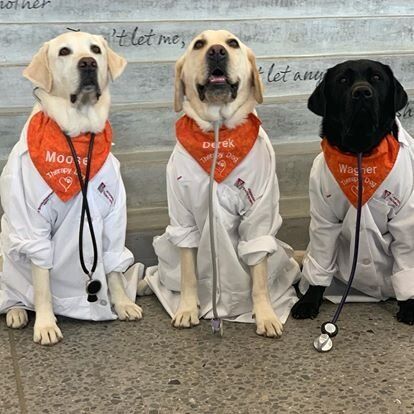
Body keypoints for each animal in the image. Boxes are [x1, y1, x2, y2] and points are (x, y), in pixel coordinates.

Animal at [0, 32, 143, 344]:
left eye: (95, 50)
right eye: (64, 51)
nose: (88, 63)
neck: (78, 134)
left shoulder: (112, 218)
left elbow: (114, 270)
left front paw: (123, 304)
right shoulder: (34, 227)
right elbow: (42, 283)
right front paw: (45, 324)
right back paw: (16, 311)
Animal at [146, 31, 300, 336]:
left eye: (232, 43)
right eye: (198, 44)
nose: (216, 52)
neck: (218, 132)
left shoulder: (258, 217)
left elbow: (259, 276)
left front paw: (265, 315)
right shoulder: (183, 219)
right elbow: (189, 273)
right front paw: (187, 308)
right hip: (166, 248)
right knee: (158, 273)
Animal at [292, 59, 414, 324]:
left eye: (377, 78)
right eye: (343, 80)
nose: (362, 93)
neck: (361, 152)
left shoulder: (406, 221)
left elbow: (407, 264)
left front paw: (410, 306)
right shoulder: (324, 221)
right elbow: (321, 260)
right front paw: (309, 300)